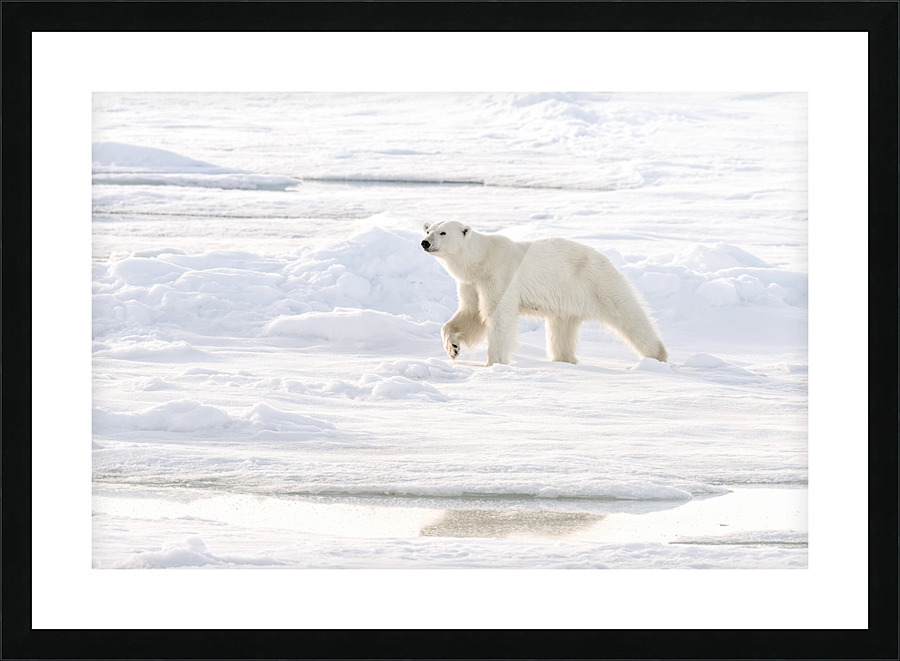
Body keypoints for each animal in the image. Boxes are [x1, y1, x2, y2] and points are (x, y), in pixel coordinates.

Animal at [421, 221, 667, 366]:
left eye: (443, 232)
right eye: (428, 230)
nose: (424, 242)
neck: (480, 259)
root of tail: (605, 259)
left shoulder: (499, 274)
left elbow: (497, 316)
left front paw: (495, 362)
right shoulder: (471, 283)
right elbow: (470, 313)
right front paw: (452, 348)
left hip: (597, 282)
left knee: (628, 316)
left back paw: (657, 355)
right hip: (567, 301)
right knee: (561, 332)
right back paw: (564, 360)